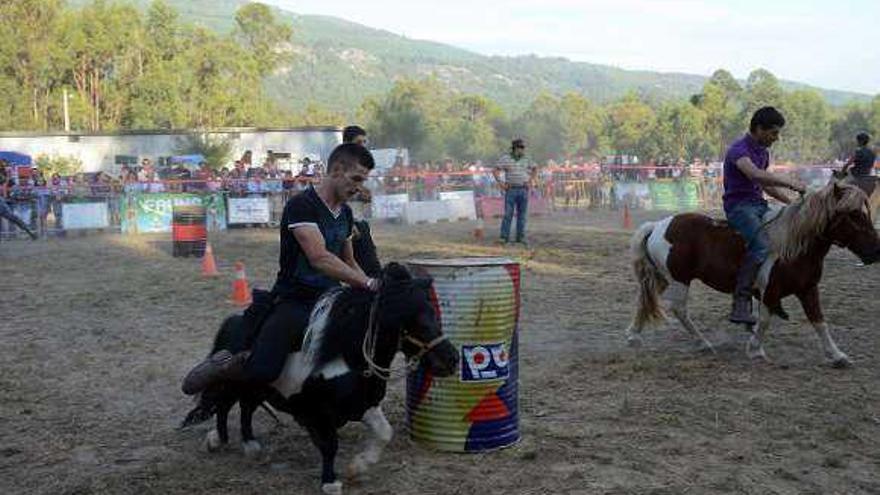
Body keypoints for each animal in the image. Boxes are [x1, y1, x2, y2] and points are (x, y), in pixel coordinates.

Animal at [181, 262, 458, 494]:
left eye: (433, 312)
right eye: (412, 320)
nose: (451, 360)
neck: (347, 359)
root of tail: (234, 321)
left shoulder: (364, 405)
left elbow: (383, 433)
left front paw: (357, 467)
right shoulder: (316, 414)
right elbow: (330, 445)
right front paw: (330, 481)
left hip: (256, 388)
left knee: (245, 407)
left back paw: (251, 445)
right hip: (242, 380)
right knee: (223, 404)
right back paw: (217, 437)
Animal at [624, 180, 880, 366]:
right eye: (854, 215)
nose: (876, 251)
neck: (793, 246)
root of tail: (658, 226)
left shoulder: (808, 289)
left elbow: (819, 321)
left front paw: (836, 355)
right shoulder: (770, 291)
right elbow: (765, 320)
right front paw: (756, 349)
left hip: (662, 278)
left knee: (644, 300)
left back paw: (634, 335)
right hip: (680, 280)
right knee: (679, 309)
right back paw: (703, 343)